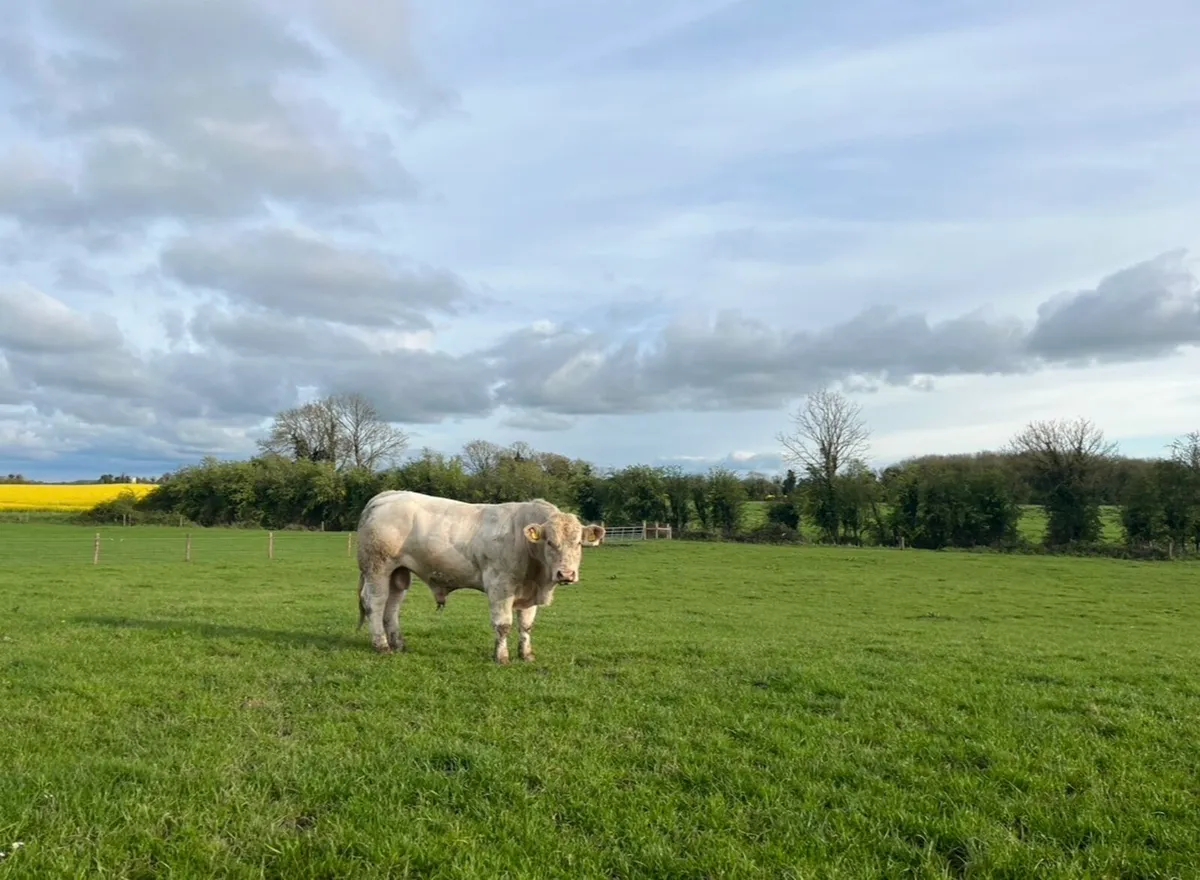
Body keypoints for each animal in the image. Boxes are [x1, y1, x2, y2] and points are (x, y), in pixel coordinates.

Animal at [354, 490, 605, 664]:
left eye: (578, 543)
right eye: (550, 542)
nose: (566, 574)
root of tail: (387, 495)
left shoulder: (530, 591)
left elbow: (526, 625)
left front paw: (526, 655)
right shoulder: (499, 586)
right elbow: (503, 625)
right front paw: (502, 657)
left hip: (399, 573)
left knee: (392, 606)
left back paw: (398, 643)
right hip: (378, 568)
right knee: (375, 603)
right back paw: (381, 645)